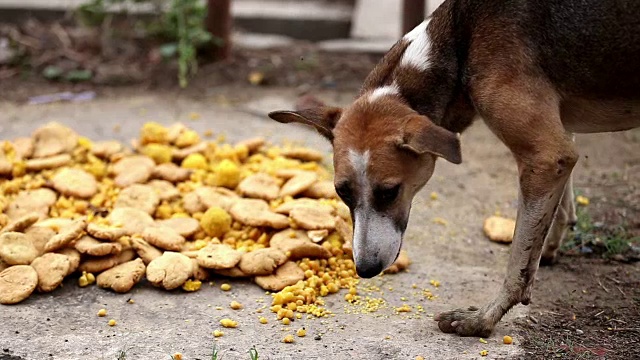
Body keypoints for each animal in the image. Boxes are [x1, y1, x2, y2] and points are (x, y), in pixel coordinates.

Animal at [266, 0, 640, 338]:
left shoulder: (547, 155)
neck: (461, 39)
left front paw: (484, 319)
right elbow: (555, 211)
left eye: (390, 192)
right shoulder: (557, 141)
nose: (366, 270)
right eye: (342, 192)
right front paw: (549, 246)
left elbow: (517, 262)